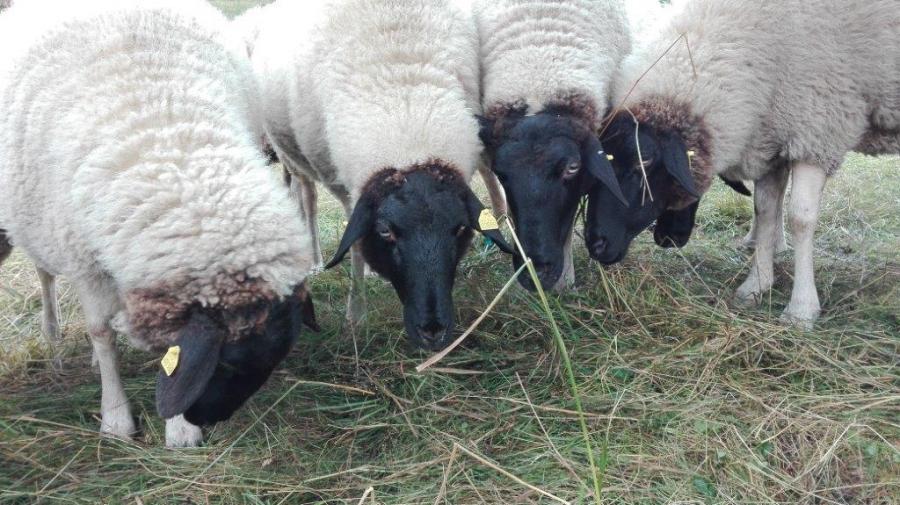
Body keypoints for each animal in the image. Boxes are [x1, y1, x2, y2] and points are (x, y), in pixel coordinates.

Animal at [0, 0, 319, 447]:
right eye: (228, 365)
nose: (213, 418)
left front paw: (180, 429)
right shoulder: (83, 258)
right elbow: (102, 334)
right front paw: (116, 418)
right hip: (35, 224)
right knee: (46, 276)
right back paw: (53, 336)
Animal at [251, 0, 514, 351]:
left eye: (460, 228)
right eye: (385, 231)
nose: (433, 331)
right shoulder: (342, 181)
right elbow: (356, 245)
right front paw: (355, 317)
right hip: (291, 156)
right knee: (307, 198)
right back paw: (316, 259)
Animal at [586, 0, 900, 327]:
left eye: (643, 164)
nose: (595, 244)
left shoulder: (817, 129)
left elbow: (800, 218)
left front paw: (801, 309)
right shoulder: (771, 134)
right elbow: (765, 211)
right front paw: (756, 285)